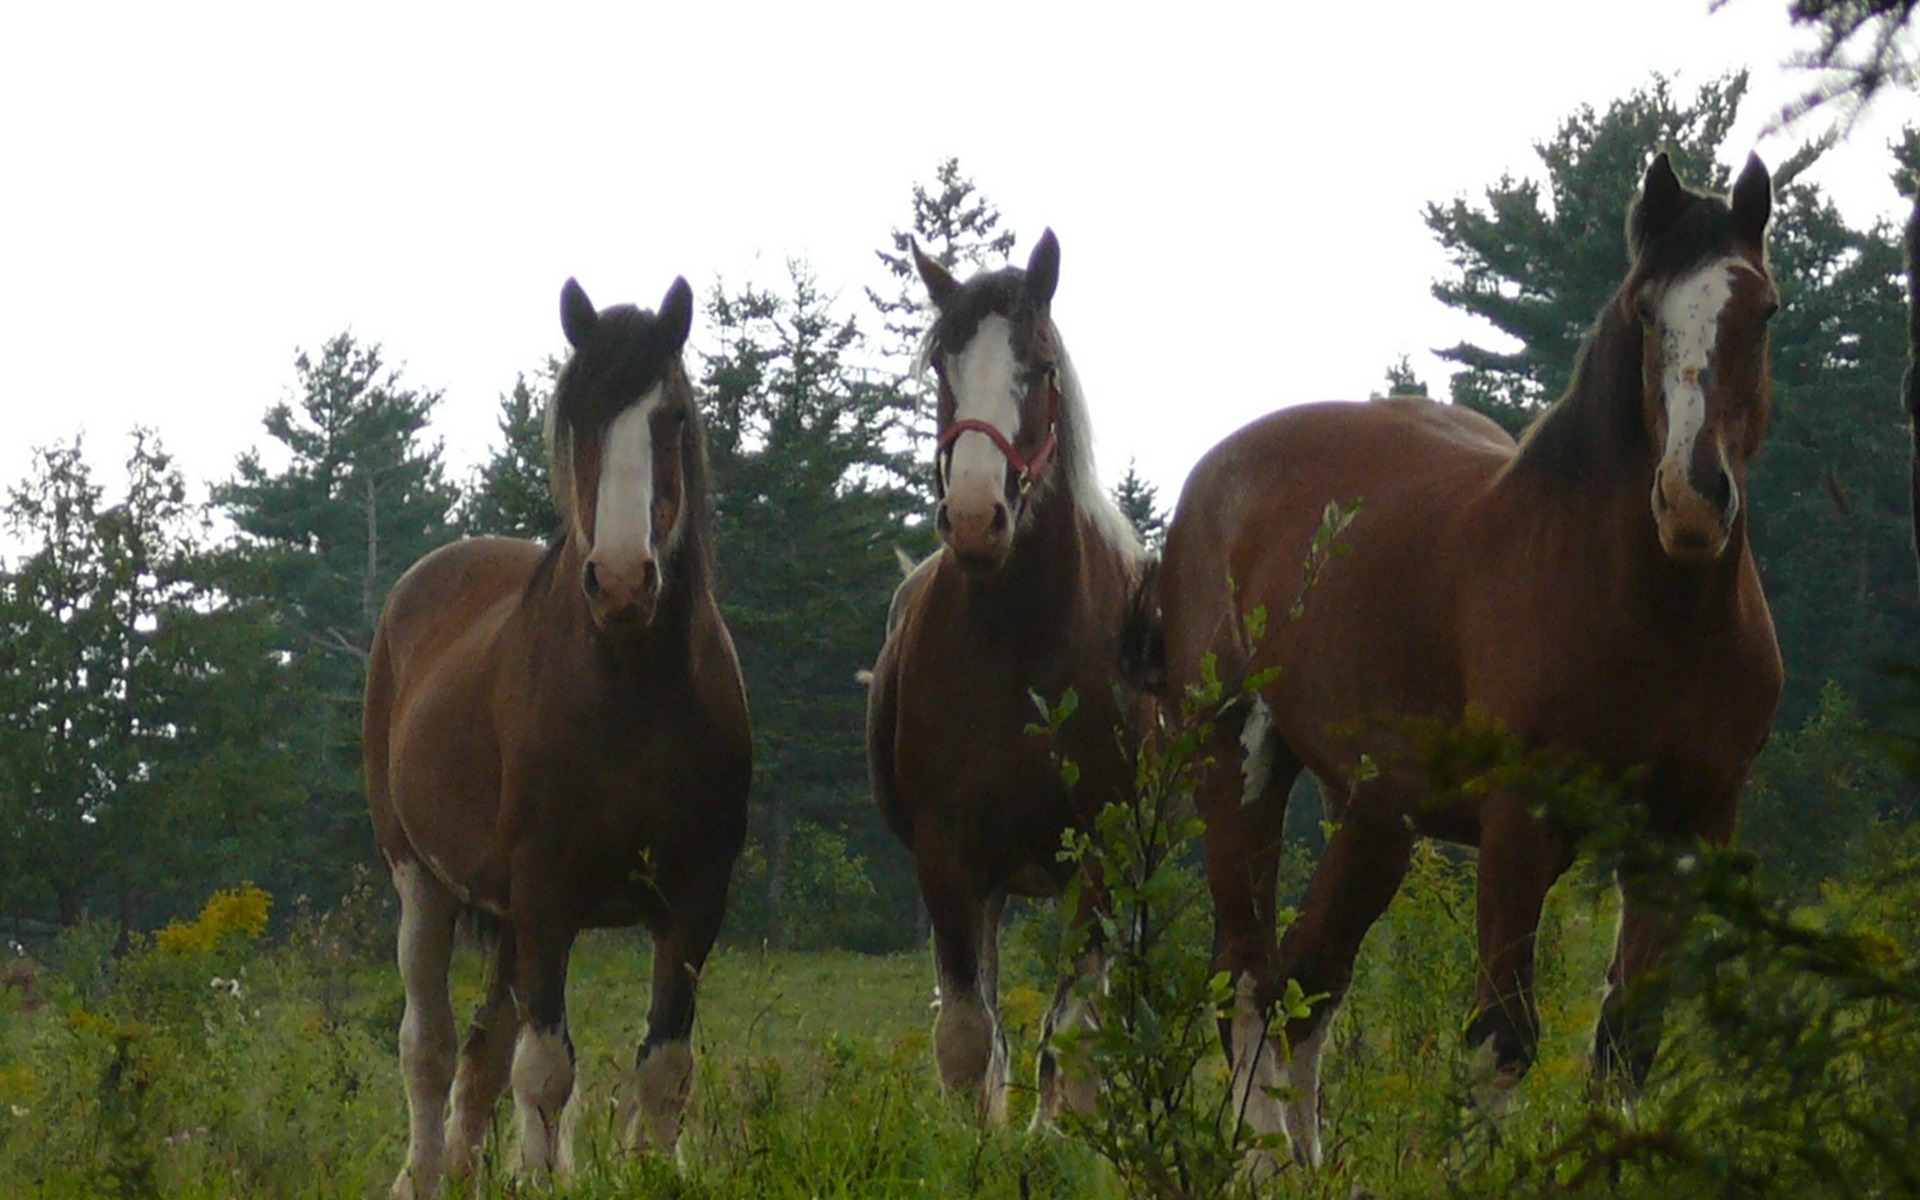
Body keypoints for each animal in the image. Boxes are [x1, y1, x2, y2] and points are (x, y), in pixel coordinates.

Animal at [360, 278, 748, 1190]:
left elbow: (663, 1067)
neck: (635, 687)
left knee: (479, 1050)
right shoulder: (546, 894)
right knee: (429, 1046)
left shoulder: (695, 900)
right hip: (420, 880)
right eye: (579, 414)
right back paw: (424, 1175)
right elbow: (544, 1070)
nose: (621, 580)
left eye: (670, 415)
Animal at [871, 229, 1152, 1121]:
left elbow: (1076, 1042)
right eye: (942, 366)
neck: (1025, 641)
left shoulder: (1101, 849)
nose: (972, 518)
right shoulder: (949, 858)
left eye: (1041, 367)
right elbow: (969, 1040)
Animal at [1136, 154, 1781, 1167]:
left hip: (1374, 818)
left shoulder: (1688, 833)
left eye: (1763, 312)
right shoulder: (1520, 827)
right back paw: (1258, 1166)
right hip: (1233, 766)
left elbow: (1628, 1044)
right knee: (1242, 978)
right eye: (1646, 313)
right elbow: (1500, 1042)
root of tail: (1211, 483)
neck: (1651, 616)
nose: (1691, 499)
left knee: (1303, 985)